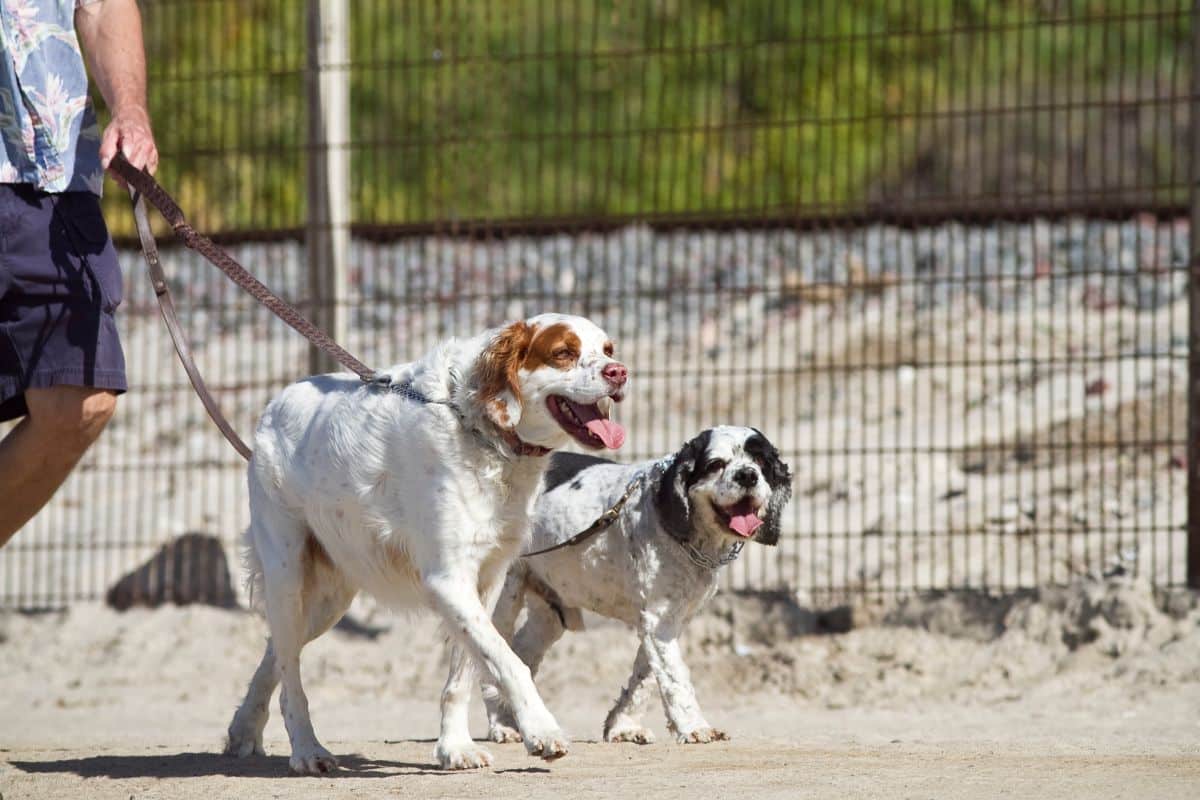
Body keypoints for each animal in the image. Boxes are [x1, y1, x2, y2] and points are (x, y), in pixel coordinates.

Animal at [223, 314, 628, 777]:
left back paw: (244, 729)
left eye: (608, 349)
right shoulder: (447, 579)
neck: (478, 427)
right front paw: (541, 730)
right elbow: (508, 660)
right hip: (287, 575)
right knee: (290, 672)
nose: (620, 373)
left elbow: (465, 671)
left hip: (329, 598)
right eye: (563, 353)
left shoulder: (484, 581)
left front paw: (455, 747)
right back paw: (307, 749)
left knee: (275, 651)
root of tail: (276, 401)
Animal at [472, 429, 792, 748]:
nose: (747, 475)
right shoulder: (659, 619)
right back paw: (502, 725)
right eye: (716, 464)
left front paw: (623, 727)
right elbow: (675, 677)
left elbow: (645, 676)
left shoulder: (667, 621)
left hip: (549, 614)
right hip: (505, 596)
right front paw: (695, 727)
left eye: (761, 461)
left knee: (521, 654)